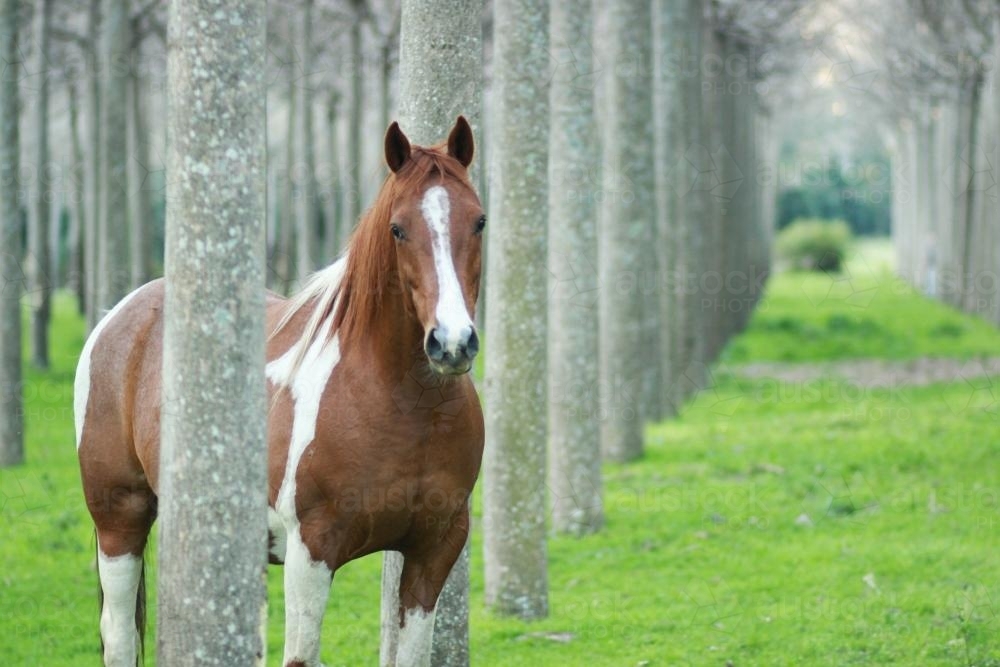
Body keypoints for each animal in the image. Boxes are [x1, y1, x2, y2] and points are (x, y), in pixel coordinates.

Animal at [72, 117, 486, 664]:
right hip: (119, 519)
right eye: (398, 229)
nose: (452, 342)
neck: (405, 406)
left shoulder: (434, 548)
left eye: (479, 221)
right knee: (119, 638)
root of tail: (120, 318)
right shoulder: (312, 550)